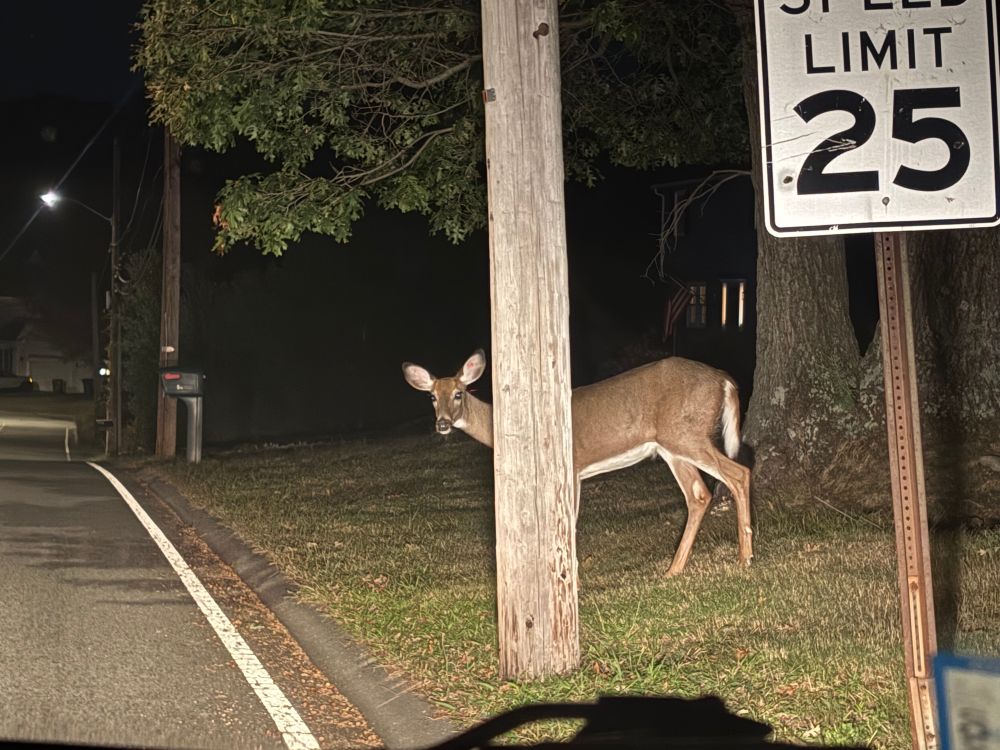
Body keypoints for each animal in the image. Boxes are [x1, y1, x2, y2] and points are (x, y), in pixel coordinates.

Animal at [402, 350, 752, 576]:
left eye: (459, 393)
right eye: (432, 397)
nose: (442, 424)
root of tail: (725, 380)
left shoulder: (571, 465)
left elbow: (569, 520)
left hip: (686, 433)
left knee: (739, 473)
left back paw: (744, 558)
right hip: (672, 445)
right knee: (699, 495)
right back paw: (673, 570)